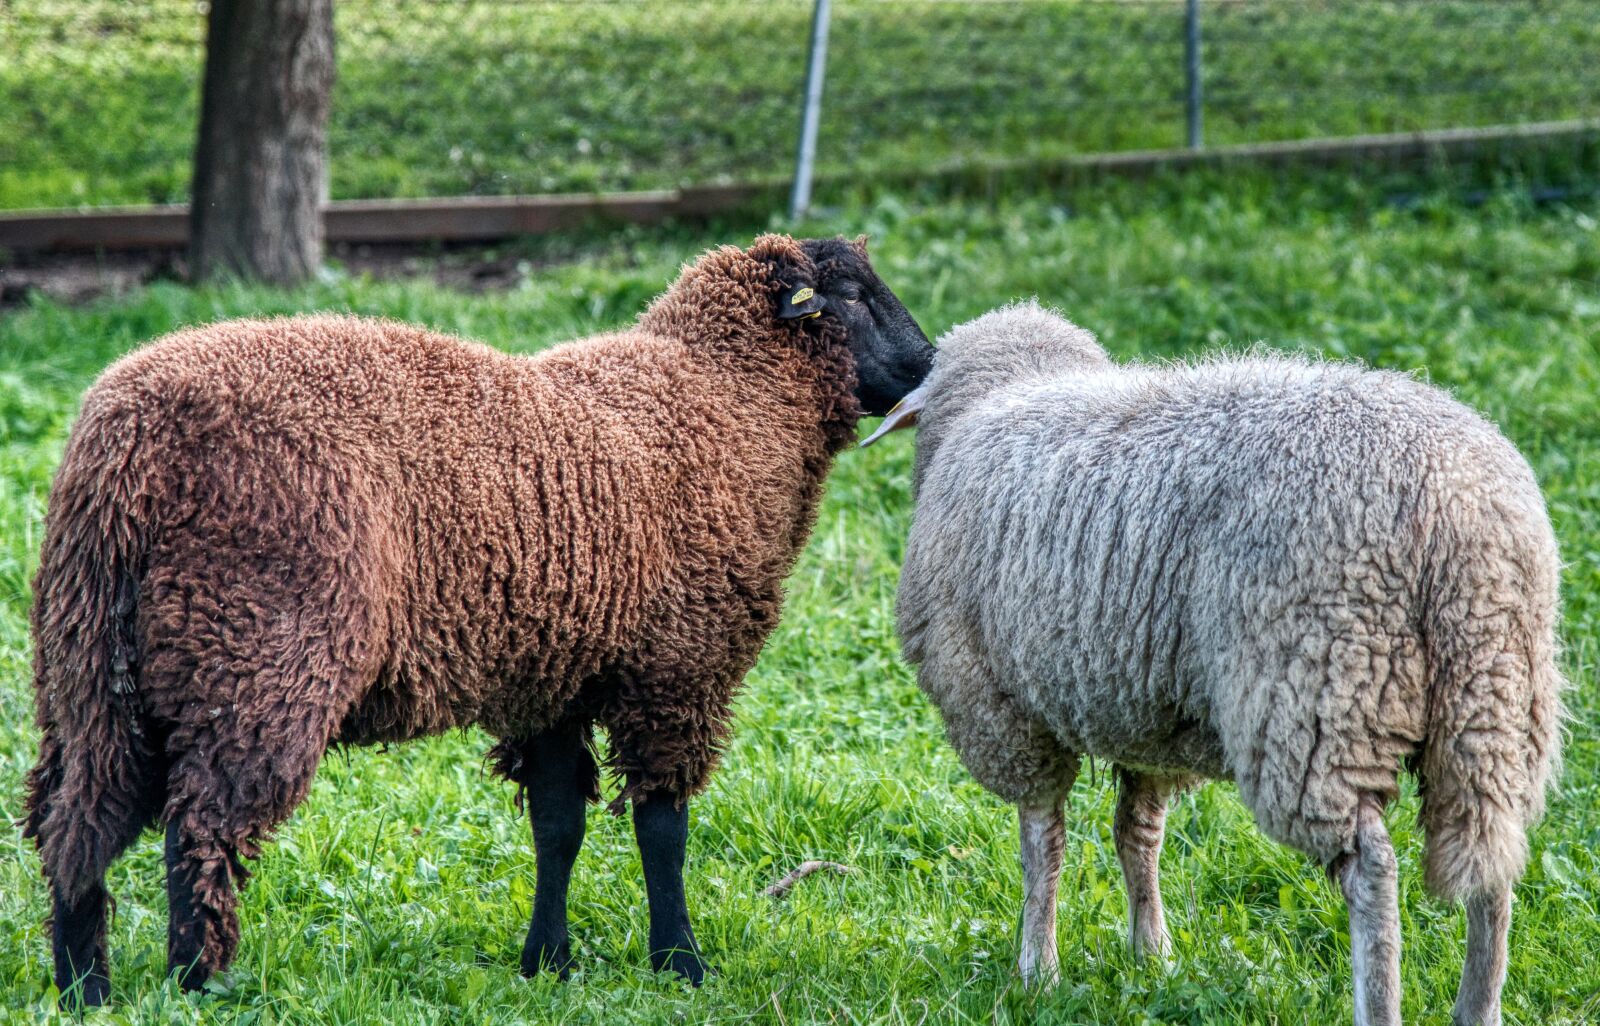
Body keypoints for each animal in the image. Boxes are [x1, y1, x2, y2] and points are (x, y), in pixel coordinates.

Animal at [23, 233, 934, 1006]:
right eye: (853, 294)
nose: (929, 362)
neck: (725, 398)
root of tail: (128, 447)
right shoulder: (678, 670)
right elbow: (662, 829)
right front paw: (680, 963)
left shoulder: (556, 675)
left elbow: (557, 826)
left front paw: (547, 962)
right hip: (249, 654)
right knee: (199, 830)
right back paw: (197, 984)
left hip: (89, 663)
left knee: (76, 824)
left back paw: (84, 990)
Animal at [869, 303, 1563, 1026]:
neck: (1014, 386)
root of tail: (1458, 519)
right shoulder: (1146, 717)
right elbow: (1137, 835)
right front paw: (1152, 954)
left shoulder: (998, 708)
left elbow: (1043, 845)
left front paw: (1038, 968)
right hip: (1495, 699)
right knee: (1492, 858)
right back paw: (1478, 1006)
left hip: (1315, 699)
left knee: (1372, 866)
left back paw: (1379, 1002)